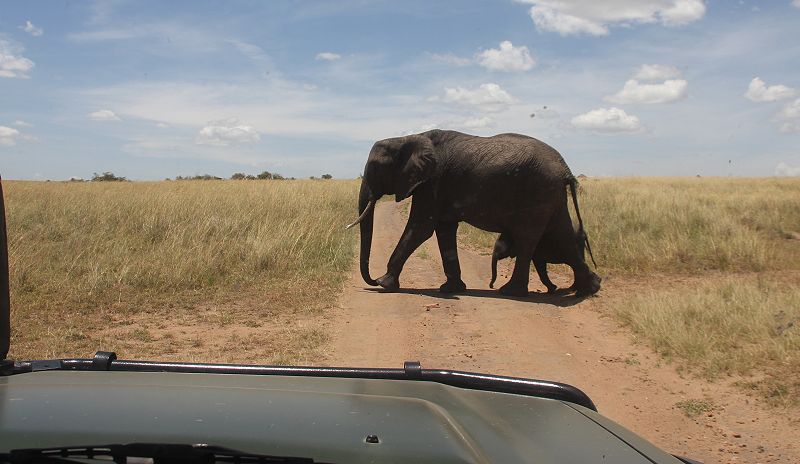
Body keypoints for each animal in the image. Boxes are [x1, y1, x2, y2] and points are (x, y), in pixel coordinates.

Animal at [344, 130, 600, 298]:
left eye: (375, 168)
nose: (371, 280)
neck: (407, 137)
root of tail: (565, 168)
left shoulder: (433, 182)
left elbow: (420, 228)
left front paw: (385, 284)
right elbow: (444, 230)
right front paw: (451, 289)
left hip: (538, 190)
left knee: (527, 237)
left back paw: (511, 292)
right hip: (551, 194)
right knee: (562, 235)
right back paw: (588, 289)